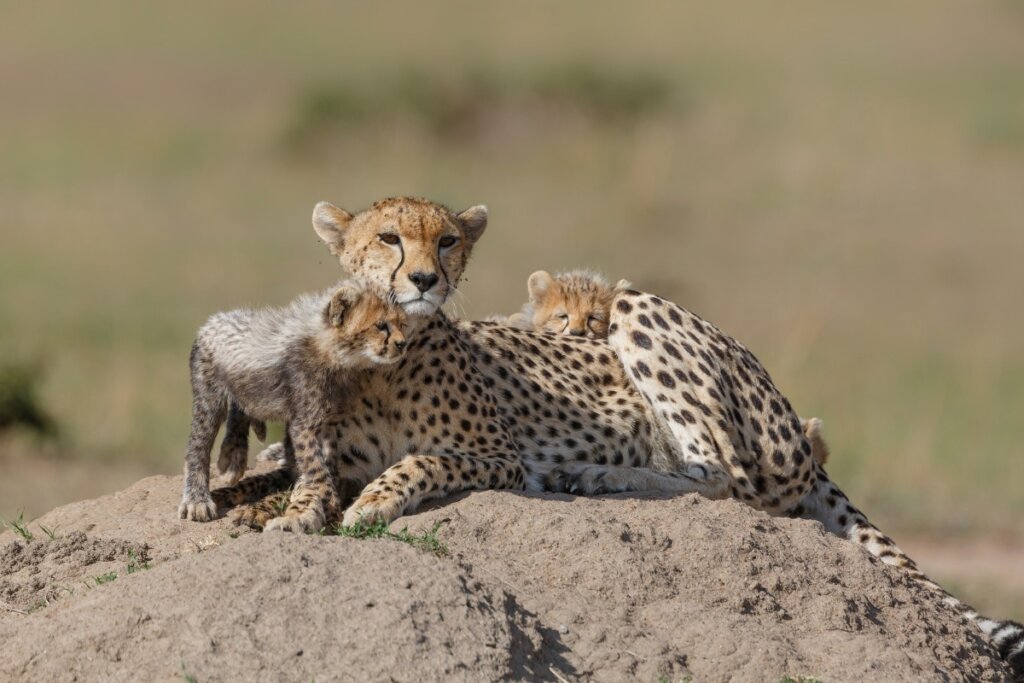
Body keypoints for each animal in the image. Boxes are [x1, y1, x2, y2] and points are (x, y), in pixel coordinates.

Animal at [178, 279, 417, 522]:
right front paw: (329, 501)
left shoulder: (331, 423)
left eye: (402, 324)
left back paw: (233, 455)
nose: (402, 344)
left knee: (240, 407)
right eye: (381, 326)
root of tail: (214, 319)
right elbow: (315, 465)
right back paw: (198, 499)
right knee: (198, 444)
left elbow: (327, 461)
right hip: (208, 393)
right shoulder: (305, 424)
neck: (331, 350)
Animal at [214, 287, 1022, 675]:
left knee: (725, 478)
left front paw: (371, 502)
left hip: (651, 319)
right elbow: (286, 484)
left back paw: (593, 472)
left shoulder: (496, 453)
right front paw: (268, 509)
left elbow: (415, 463)